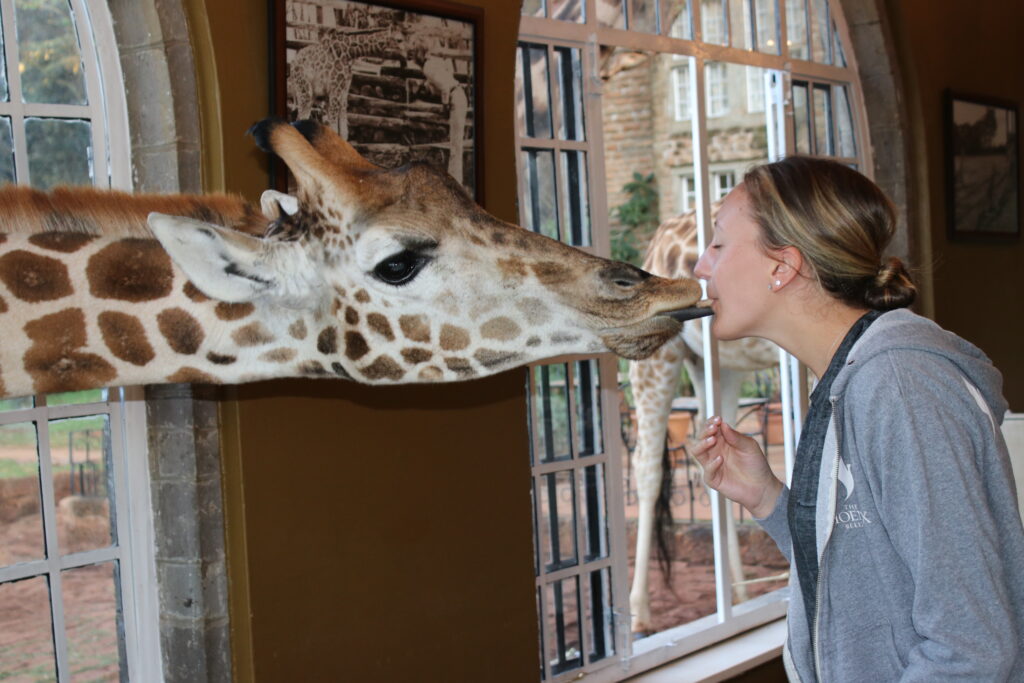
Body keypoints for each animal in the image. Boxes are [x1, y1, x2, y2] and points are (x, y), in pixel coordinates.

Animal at [622, 201, 774, 634]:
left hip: (717, 363)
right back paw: (640, 613)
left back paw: (739, 595)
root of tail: (656, 240)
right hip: (660, 358)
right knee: (647, 465)